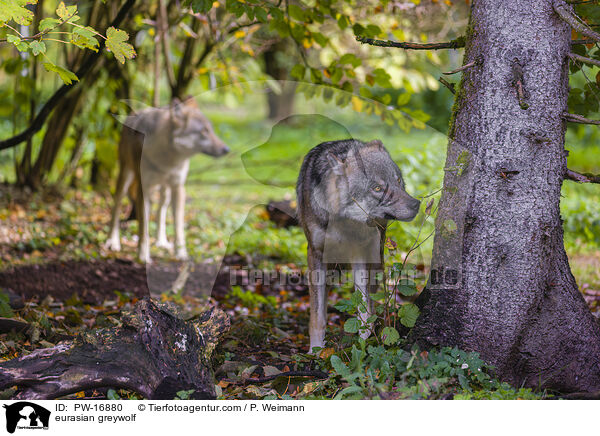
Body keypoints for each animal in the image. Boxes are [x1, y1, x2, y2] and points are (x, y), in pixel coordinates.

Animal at [104, 96, 229, 262]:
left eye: (211, 130)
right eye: (203, 131)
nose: (227, 149)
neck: (167, 158)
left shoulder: (178, 188)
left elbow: (178, 226)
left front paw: (181, 254)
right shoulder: (144, 189)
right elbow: (143, 228)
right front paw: (143, 256)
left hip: (166, 190)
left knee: (161, 210)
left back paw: (162, 242)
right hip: (126, 178)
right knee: (116, 208)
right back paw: (113, 241)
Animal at [294, 140, 418, 350]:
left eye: (399, 181)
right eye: (377, 189)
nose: (416, 204)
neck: (344, 224)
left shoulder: (358, 254)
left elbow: (364, 309)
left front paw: (363, 342)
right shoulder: (316, 254)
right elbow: (317, 316)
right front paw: (315, 350)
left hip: (376, 256)